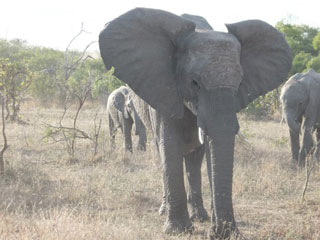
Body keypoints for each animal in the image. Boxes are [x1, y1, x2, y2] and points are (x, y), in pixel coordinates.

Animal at [99, 7, 292, 238]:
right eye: (194, 83)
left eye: (239, 83)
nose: (221, 233)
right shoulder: (164, 90)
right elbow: (169, 146)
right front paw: (177, 230)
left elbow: (209, 150)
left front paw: (215, 228)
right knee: (162, 153)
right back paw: (164, 210)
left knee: (193, 161)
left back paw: (200, 216)